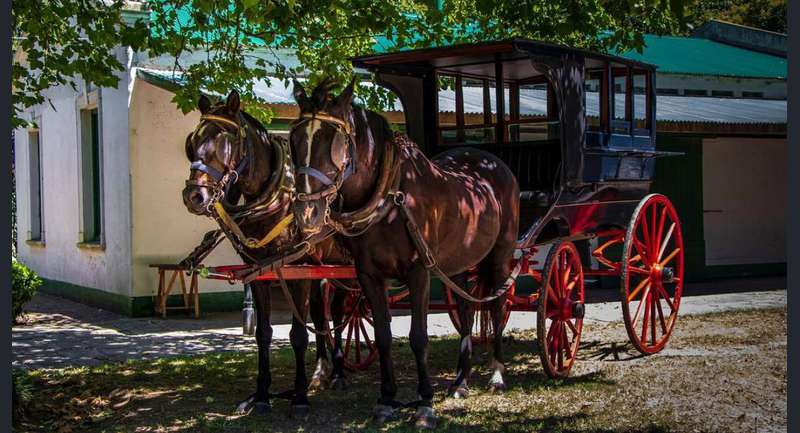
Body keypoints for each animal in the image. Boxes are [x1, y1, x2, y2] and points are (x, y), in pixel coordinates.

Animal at [183, 89, 354, 416]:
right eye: (192, 142)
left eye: (224, 142)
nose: (193, 196)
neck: (272, 199)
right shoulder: (261, 273)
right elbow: (263, 334)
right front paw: (262, 395)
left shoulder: (297, 271)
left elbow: (298, 335)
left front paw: (299, 398)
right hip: (322, 266)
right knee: (321, 314)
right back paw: (321, 372)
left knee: (341, 311)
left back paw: (339, 372)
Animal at [290, 79, 520, 426]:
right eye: (293, 139)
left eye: (332, 141)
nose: (307, 213)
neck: (390, 196)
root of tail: (491, 161)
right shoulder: (369, 276)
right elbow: (383, 335)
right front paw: (386, 399)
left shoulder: (419, 272)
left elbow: (418, 337)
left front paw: (424, 404)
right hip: (457, 264)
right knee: (466, 310)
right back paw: (460, 381)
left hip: (499, 258)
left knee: (495, 306)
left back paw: (497, 374)